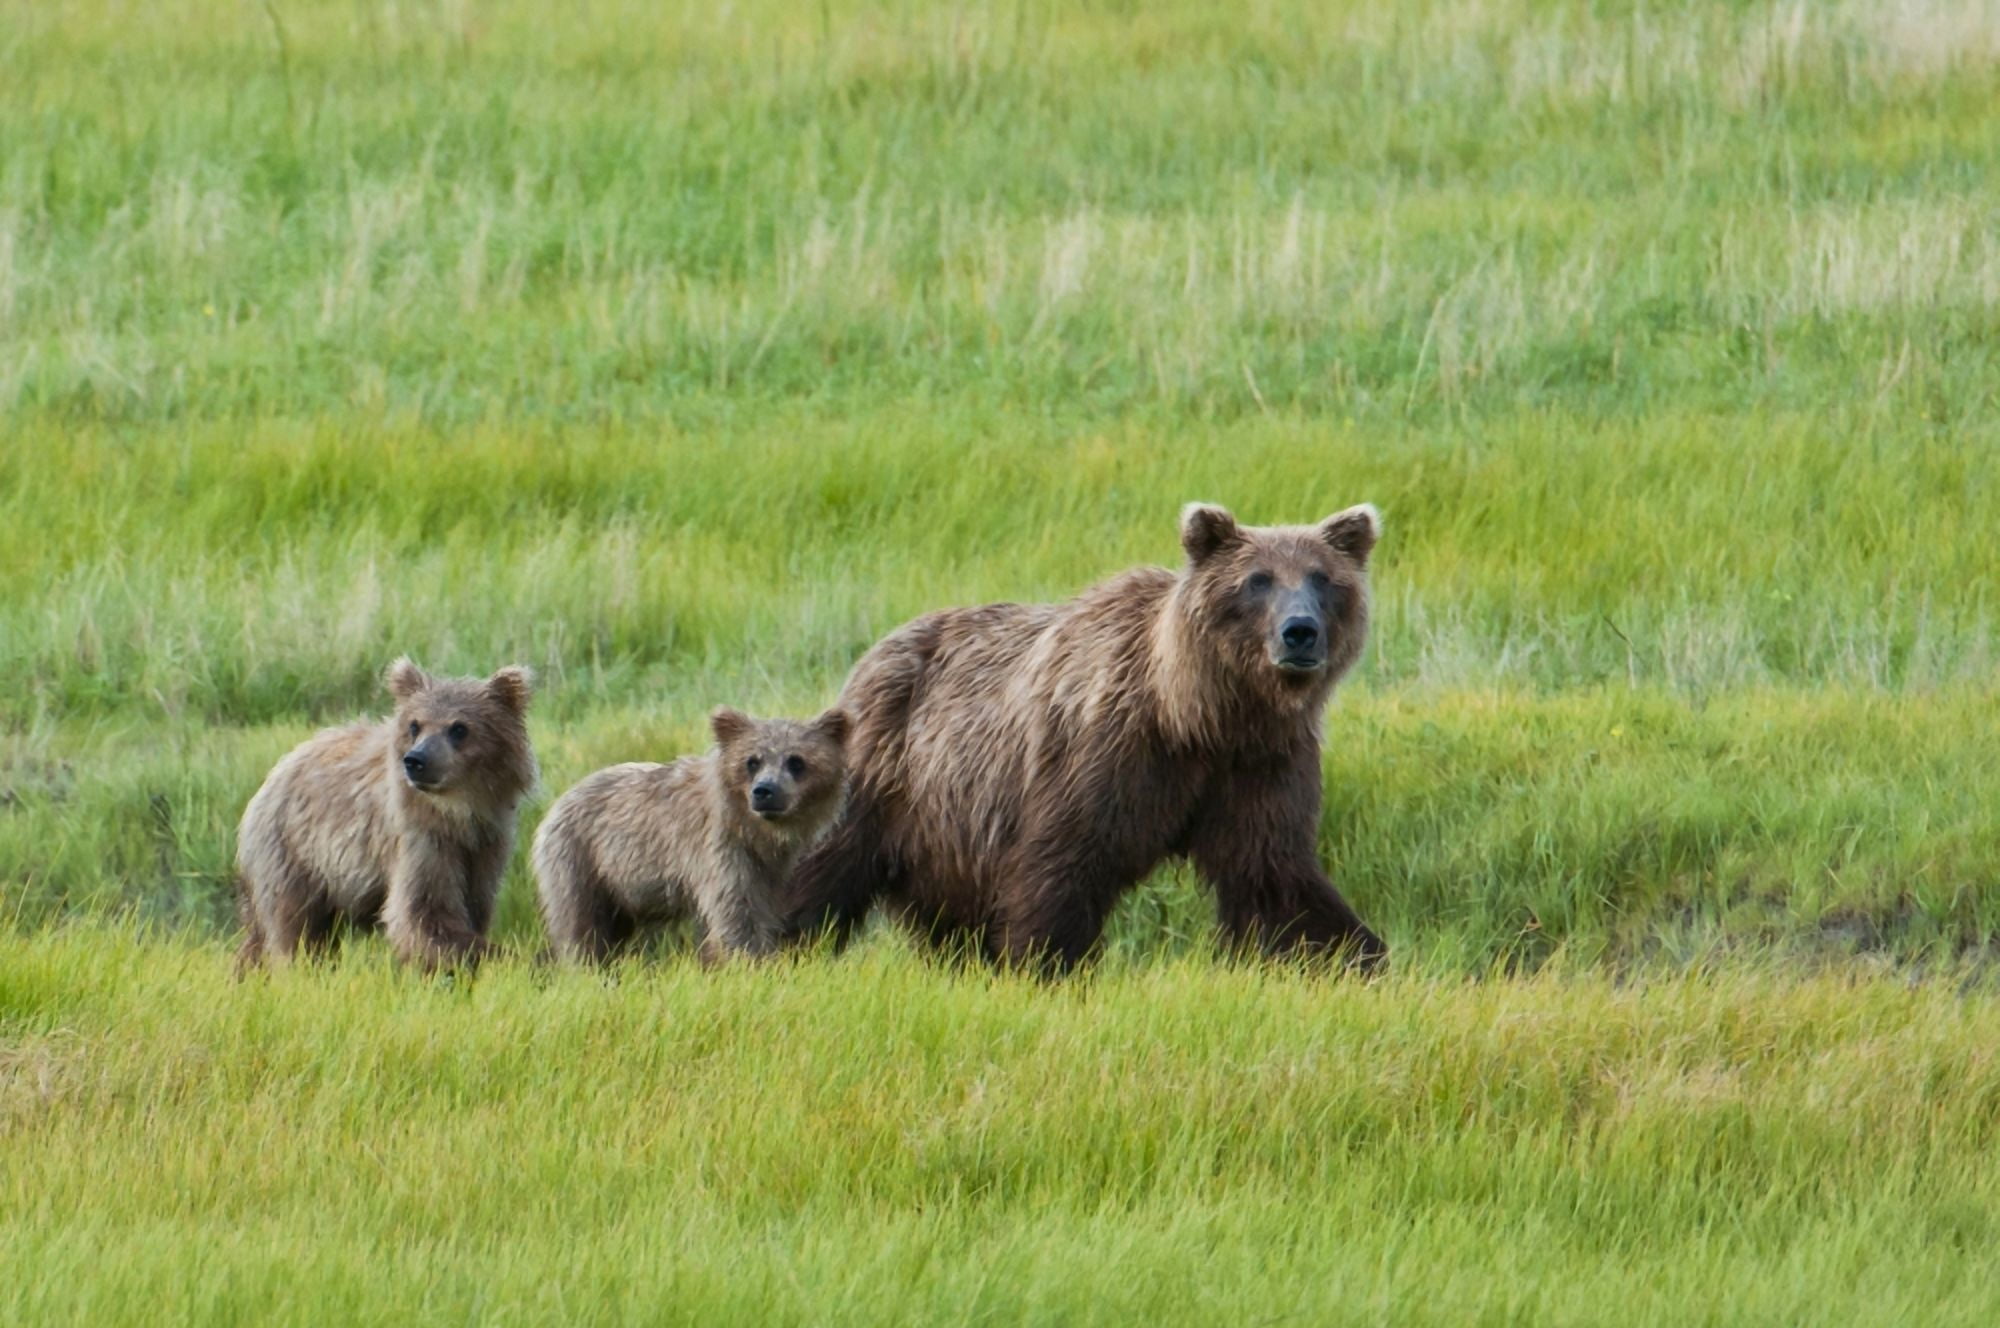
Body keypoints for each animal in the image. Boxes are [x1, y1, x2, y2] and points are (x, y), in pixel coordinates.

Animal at [235, 658, 536, 974]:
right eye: (415, 725)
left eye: (459, 728)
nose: (416, 760)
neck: (459, 812)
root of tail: (271, 777)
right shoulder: (420, 838)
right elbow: (423, 912)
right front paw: (509, 957)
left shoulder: (485, 845)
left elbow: (474, 904)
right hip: (294, 851)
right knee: (295, 927)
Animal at [532, 706, 849, 965]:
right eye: (752, 761)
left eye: (796, 761)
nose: (765, 791)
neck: (752, 830)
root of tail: (557, 803)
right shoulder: (717, 849)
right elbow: (737, 914)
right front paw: (755, 964)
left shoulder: (768, 869)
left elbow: (759, 908)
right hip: (580, 859)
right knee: (581, 926)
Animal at [779, 500, 1387, 974]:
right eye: (1258, 580)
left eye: (1323, 579)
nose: (1300, 632)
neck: (1196, 715)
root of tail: (874, 652)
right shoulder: (1105, 753)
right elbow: (1063, 864)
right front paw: (1045, 964)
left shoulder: (1257, 763)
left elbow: (1273, 871)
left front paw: (1358, 957)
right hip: (891, 773)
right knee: (822, 861)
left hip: (945, 831)